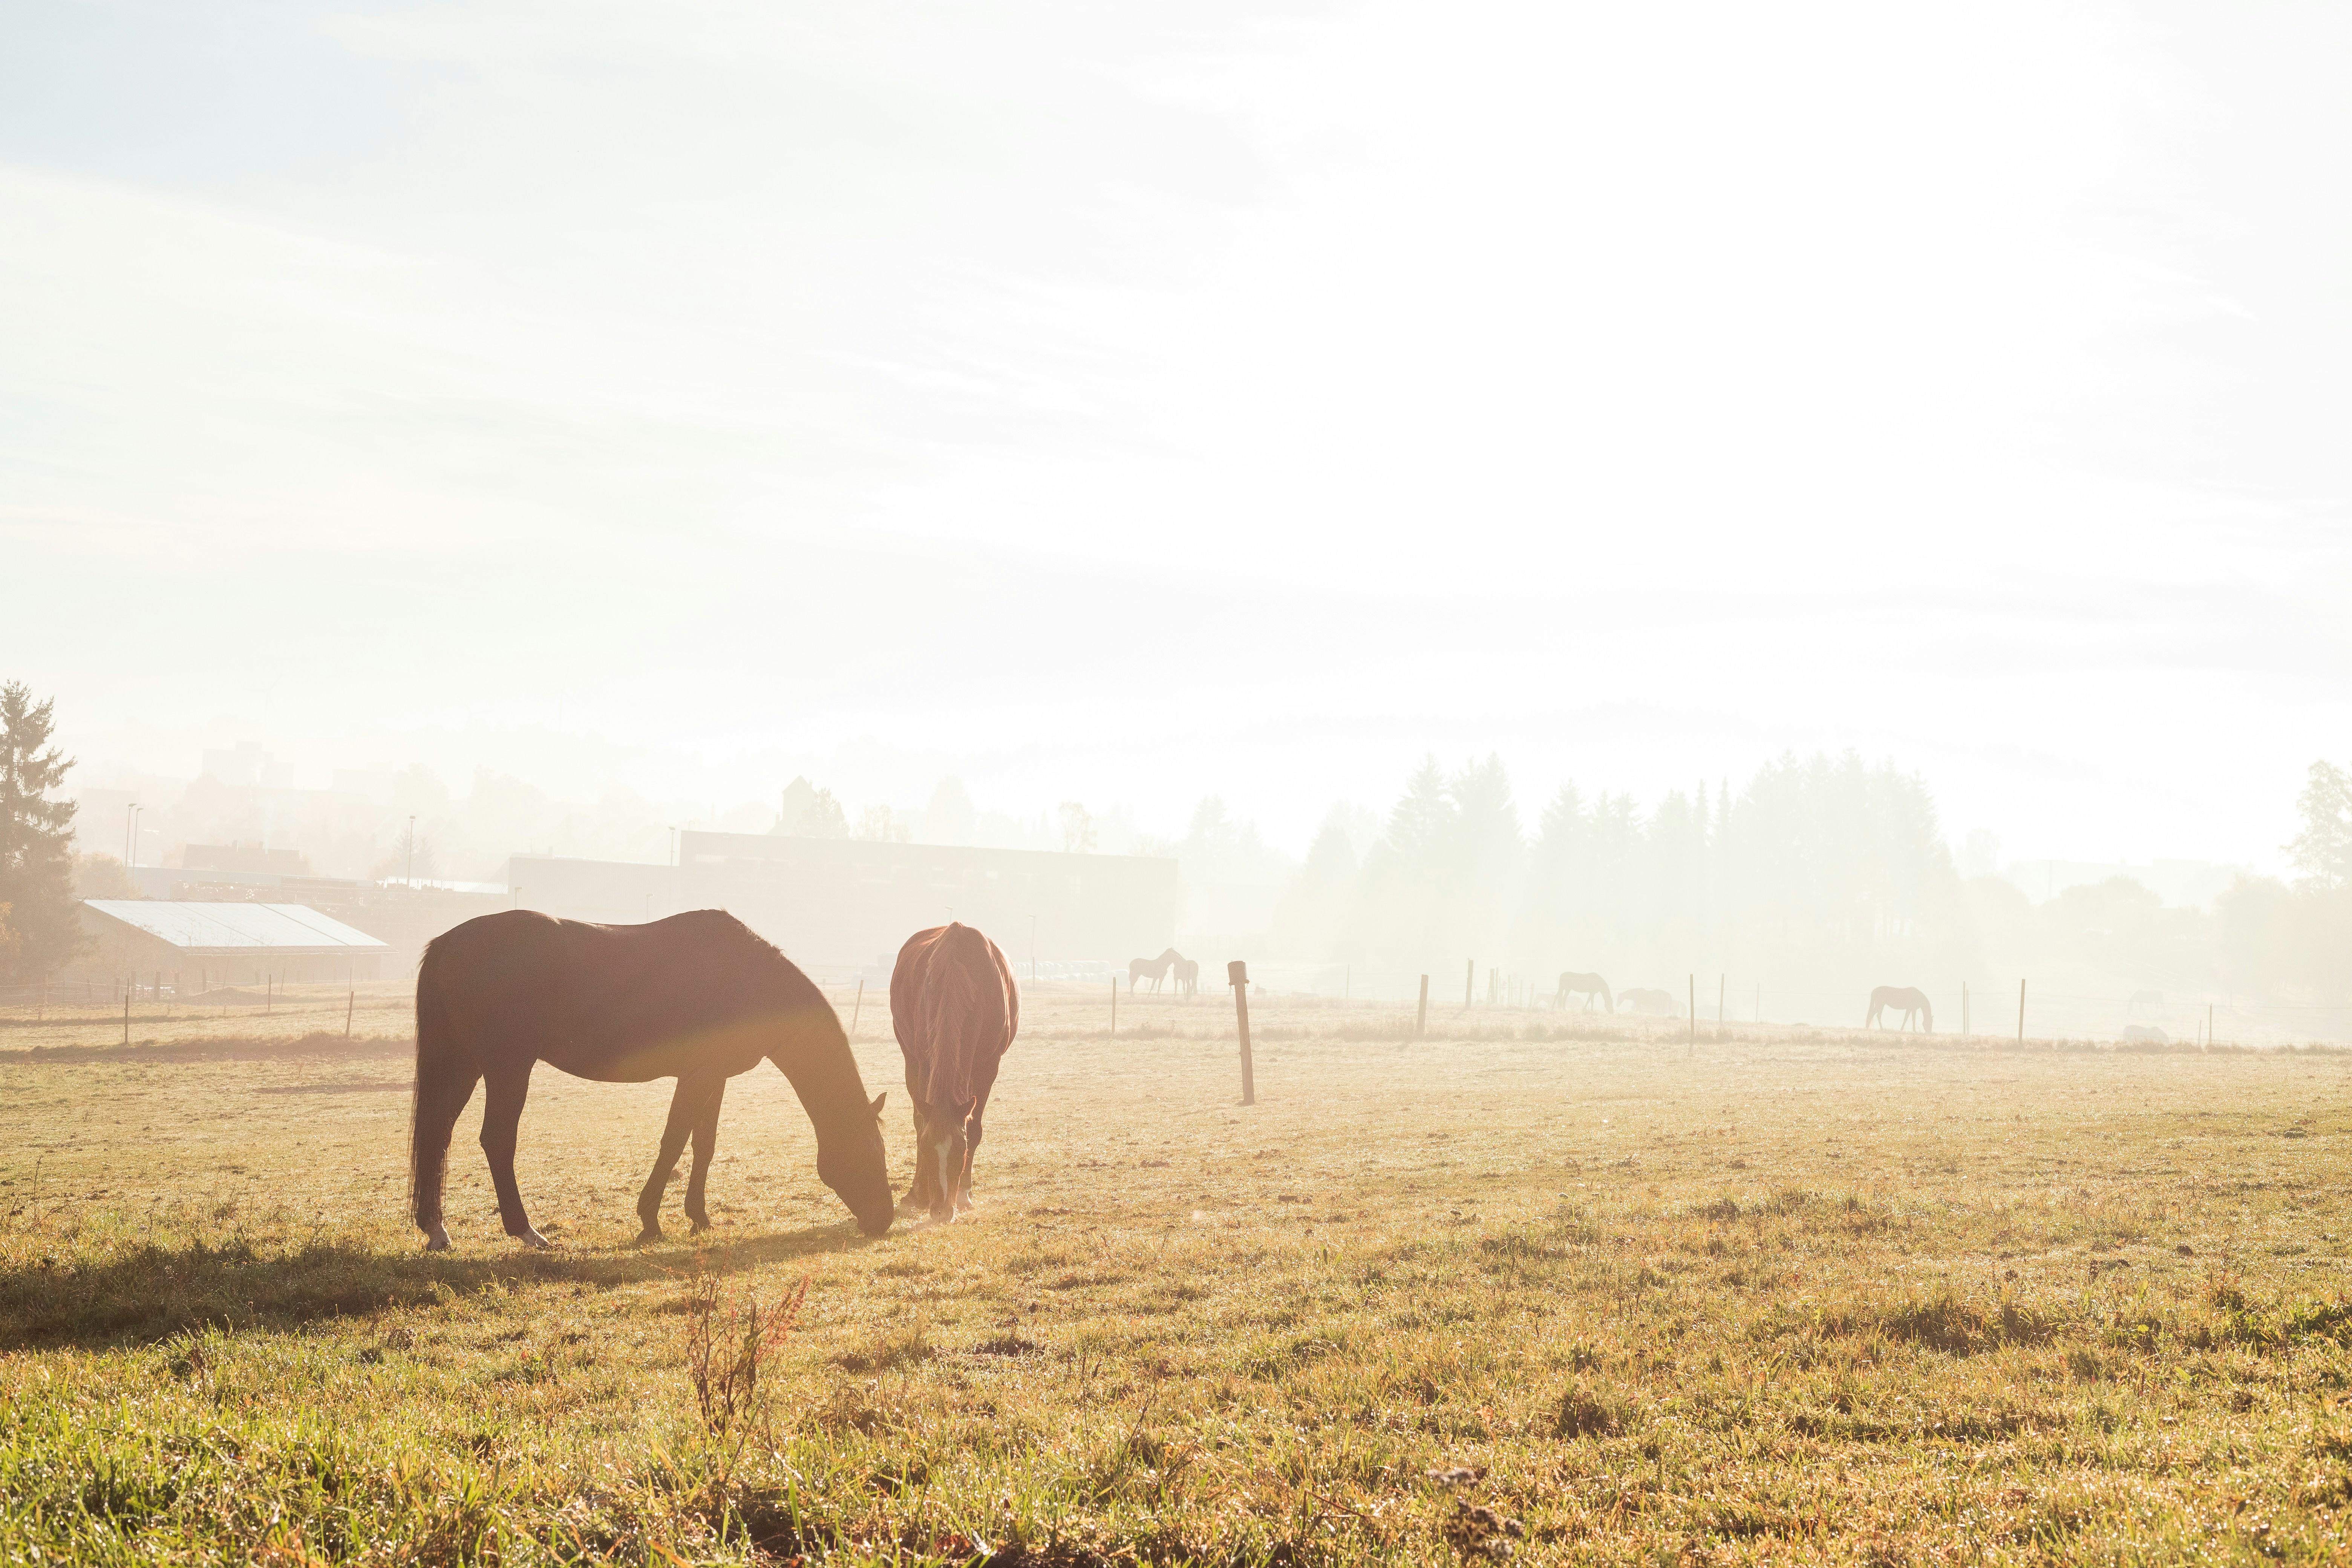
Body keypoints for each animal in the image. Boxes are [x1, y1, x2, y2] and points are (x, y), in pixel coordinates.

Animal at [409, 909, 893, 1251]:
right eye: (872, 1151)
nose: (885, 1219)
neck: (748, 980)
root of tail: (448, 944)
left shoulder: (714, 1077)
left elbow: (704, 1144)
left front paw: (699, 1217)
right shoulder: (696, 1076)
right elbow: (674, 1142)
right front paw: (651, 1222)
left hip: (464, 1064)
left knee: (438, 1134)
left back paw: (437, 1228)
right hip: (507, 1066)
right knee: (497, 1139)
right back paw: (526, 1230)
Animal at [891, 923, 1019, 1222]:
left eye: (960, 1151)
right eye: (927, 1150)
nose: (941, 1211)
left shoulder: (988, 1068)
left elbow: (974, 1130)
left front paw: (964, 1195)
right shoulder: (924, 1062)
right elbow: (921, 1125)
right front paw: (920, 1194)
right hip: (911, 1060)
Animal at [1555, 971, 1613, 1012]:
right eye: (1610, 1003)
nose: (1613, 1012)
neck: (1599, 982)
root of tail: (1562, 975)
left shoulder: (1592, 993)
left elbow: (1591, 1001)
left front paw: (1591, 1010)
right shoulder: (1592, 993)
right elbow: (1589, 1001)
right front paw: (1586, 1010)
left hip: (1564, 989)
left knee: (1558, 996)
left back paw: (1554, 1009)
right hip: (1565, 989)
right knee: (1563, 997)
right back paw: (1564, 1009)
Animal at [1865, 985, 1932, 1032]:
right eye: (1930, 1022)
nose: (1930, 1032)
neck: (1919, 997)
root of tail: (1875, 990)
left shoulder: (1909, 1009)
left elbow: (1906, 1019)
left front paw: (1902, 1029)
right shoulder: (1913, 1009)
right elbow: (1913, 1019)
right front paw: (1914, 1031)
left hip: (1881, 1006)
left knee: (1877, 1015)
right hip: (1880, 1005)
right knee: (1873, 1014)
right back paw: (1874, 1028)